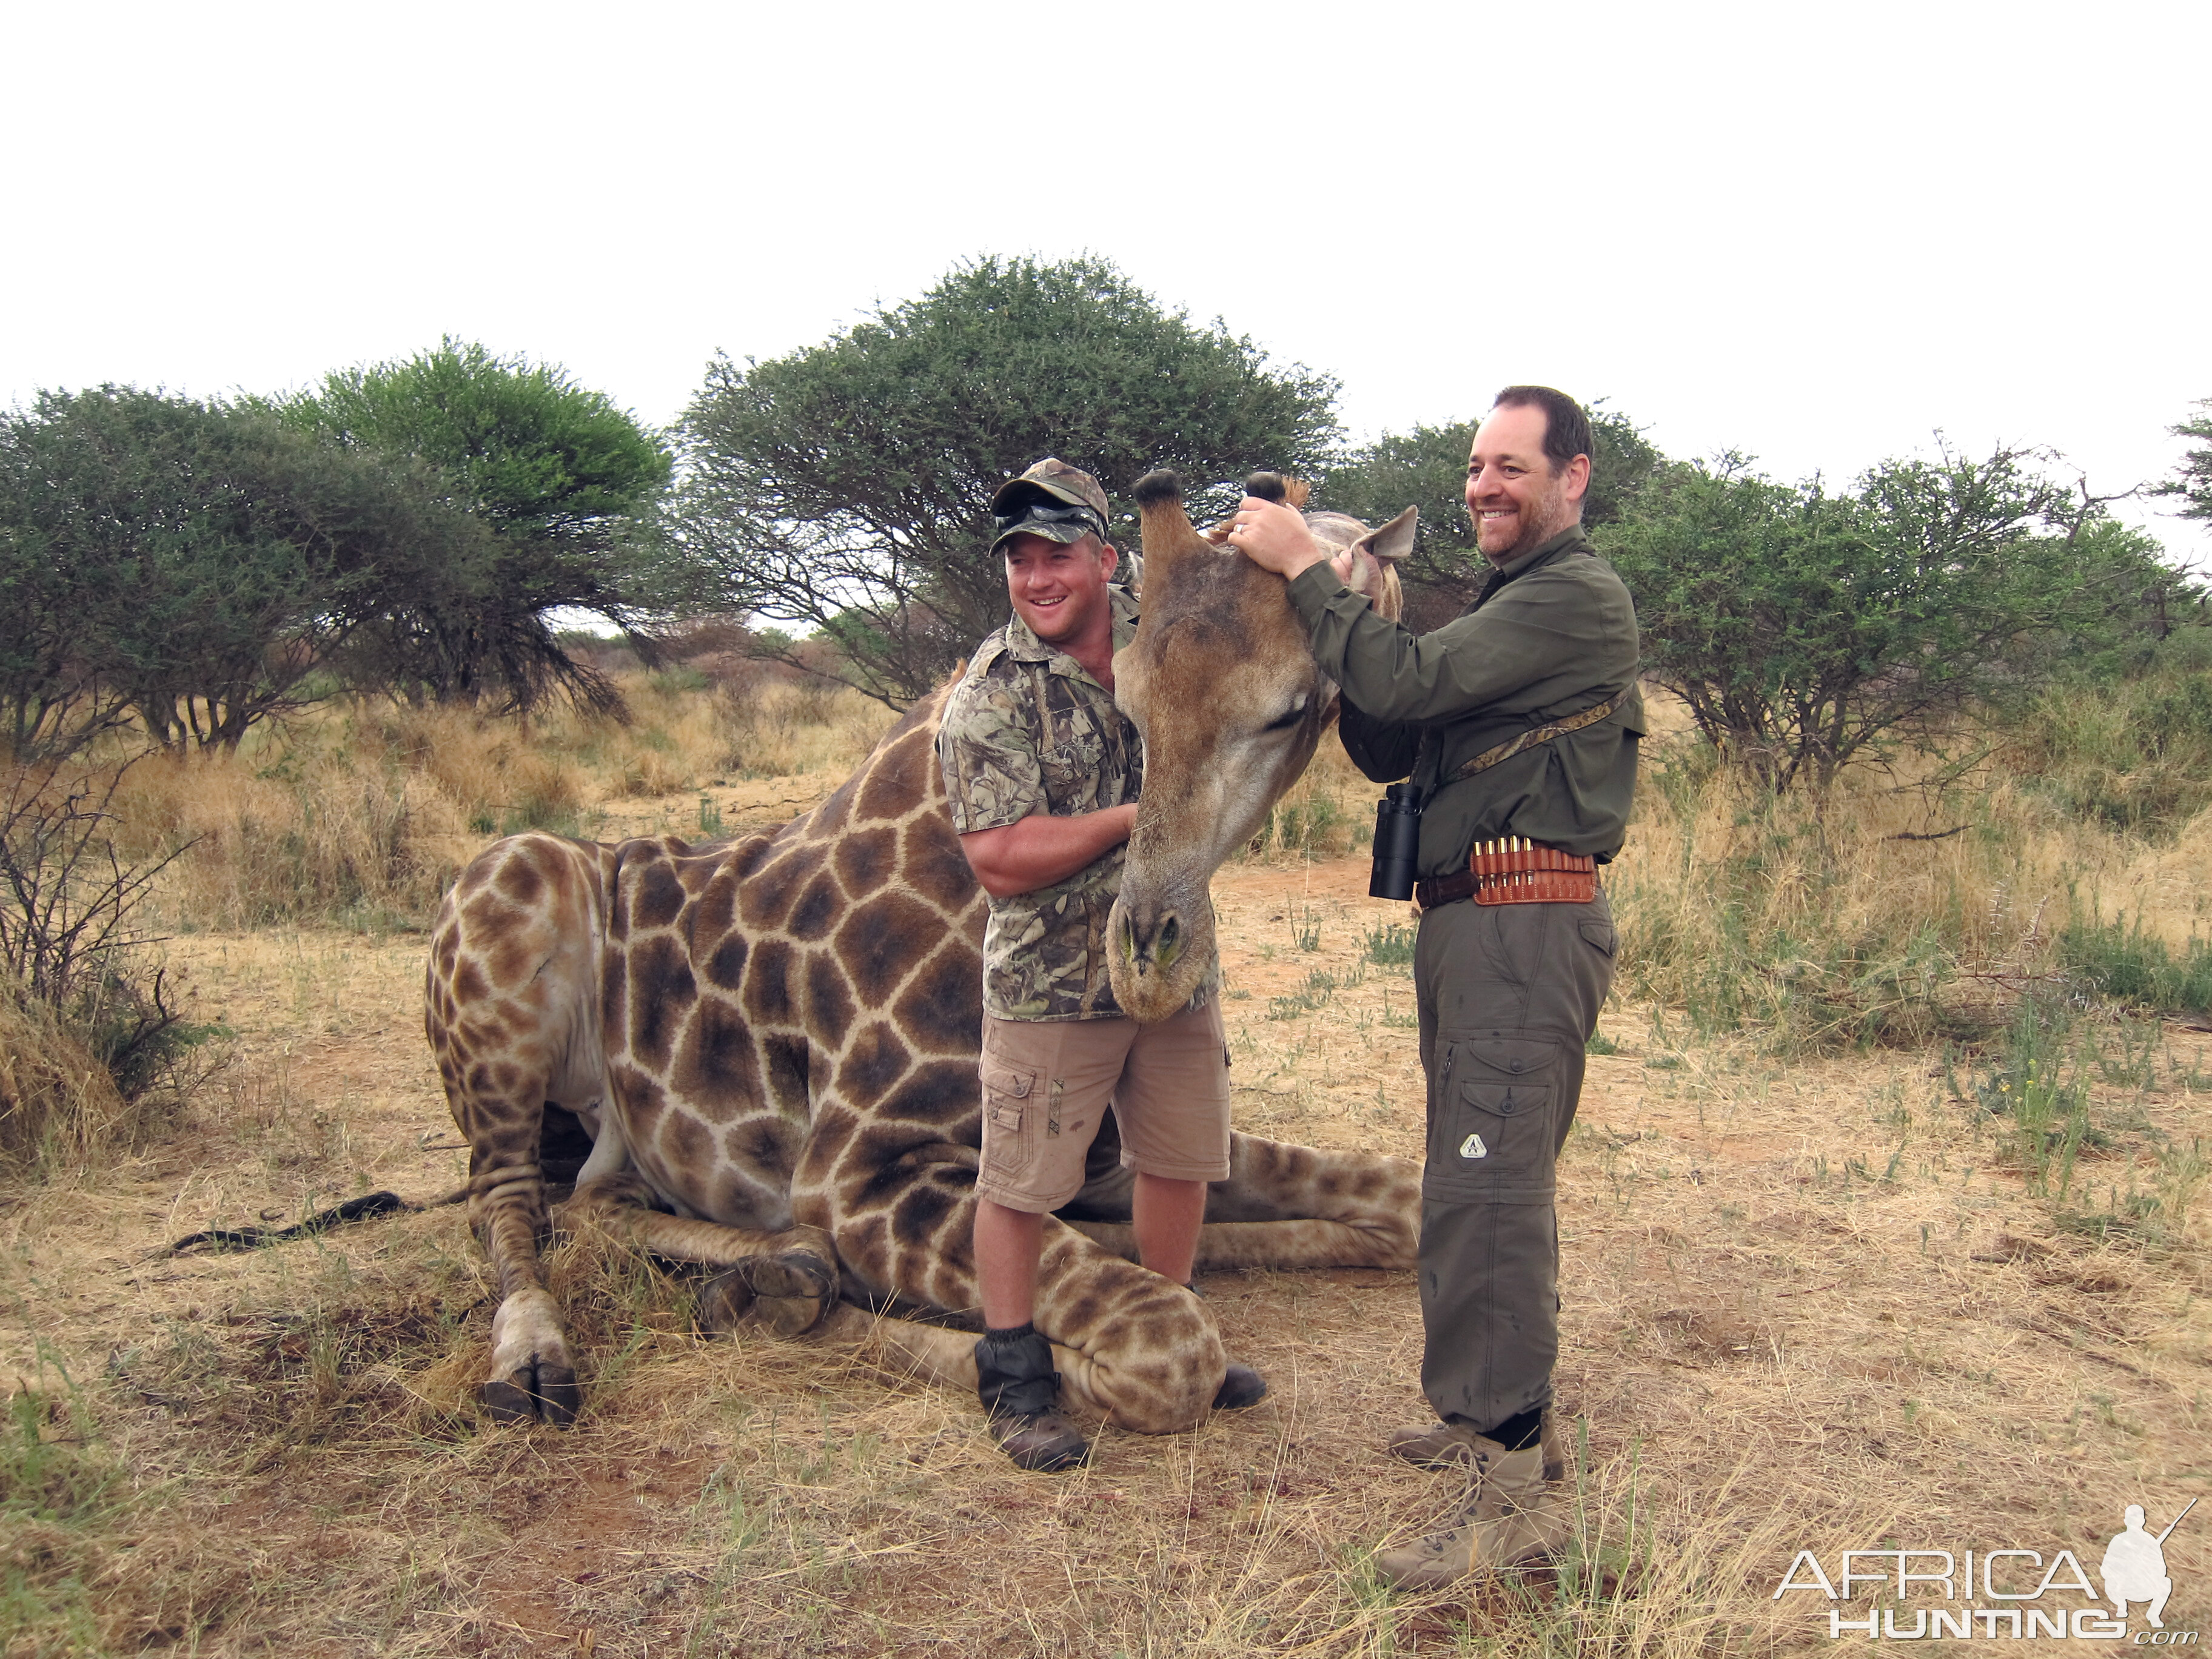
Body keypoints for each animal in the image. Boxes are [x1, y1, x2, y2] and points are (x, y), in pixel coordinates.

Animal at [424, 471, 1424, 1442]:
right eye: (1133, 706)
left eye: (1289, 711)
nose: (1148, 964)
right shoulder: (857, 1173)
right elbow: (1168, 1347)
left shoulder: (1109, 1153)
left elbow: (1404, 1203)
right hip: (505, 902)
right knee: (506, 1200)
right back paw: (543, 1360)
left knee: (588, 1199)